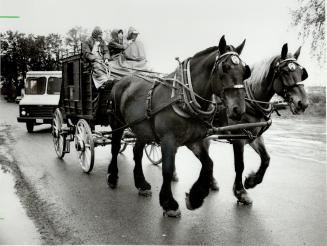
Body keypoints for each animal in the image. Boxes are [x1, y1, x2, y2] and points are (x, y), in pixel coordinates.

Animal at [107, 35, 251, 216]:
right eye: (224, 68)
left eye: (245, 71)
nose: (238, 110)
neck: (184, 97)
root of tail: (122, 80)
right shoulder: (168, 139)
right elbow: (167, 170)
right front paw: (169, 203)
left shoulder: (194, 140)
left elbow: (209, 164)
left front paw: (195, 197)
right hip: (117, 123)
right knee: (115, 147)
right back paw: (112, 177)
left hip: (142, 130)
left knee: (137, 152)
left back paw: (142, 184)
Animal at [213, 43, 310, 205]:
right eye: (284, 72)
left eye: (302, 72)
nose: (303, 103)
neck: (250, 102)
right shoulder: (238, 138)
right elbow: (239, 165)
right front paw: (240, 192)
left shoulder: (255, 136)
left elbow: (266, 159)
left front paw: (251, 181)